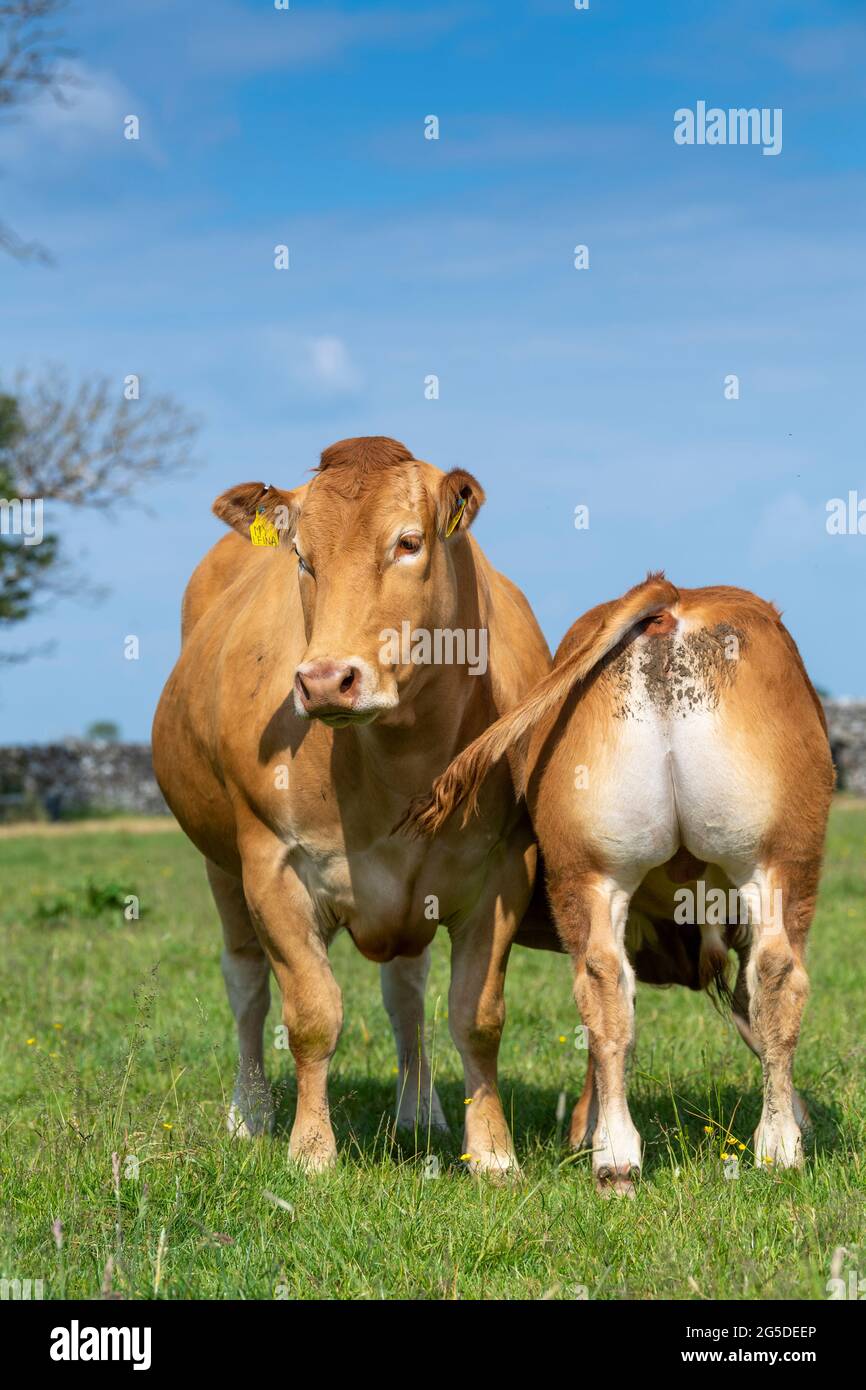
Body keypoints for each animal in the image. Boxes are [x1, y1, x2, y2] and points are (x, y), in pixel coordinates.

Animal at [151, 436, 552, 1175]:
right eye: (303, 557)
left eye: (408, 543)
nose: (323, 680)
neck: (401, 757)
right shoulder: (272, 867)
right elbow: (311, 1018)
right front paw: (311, 1151)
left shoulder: (504, 871)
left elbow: (476, 1017)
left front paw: (492, 1153)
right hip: (220, 866)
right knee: (246, 985)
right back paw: (251, 1112)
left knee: (407, 995)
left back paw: (419, 1111)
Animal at [404, 574, 835, 1194]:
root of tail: (673, 597)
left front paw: (582, 1131)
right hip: (779, 860)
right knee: (777, 978)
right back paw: (777, 1148)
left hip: (594, 869)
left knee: (604, 985)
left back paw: (615, 1155)